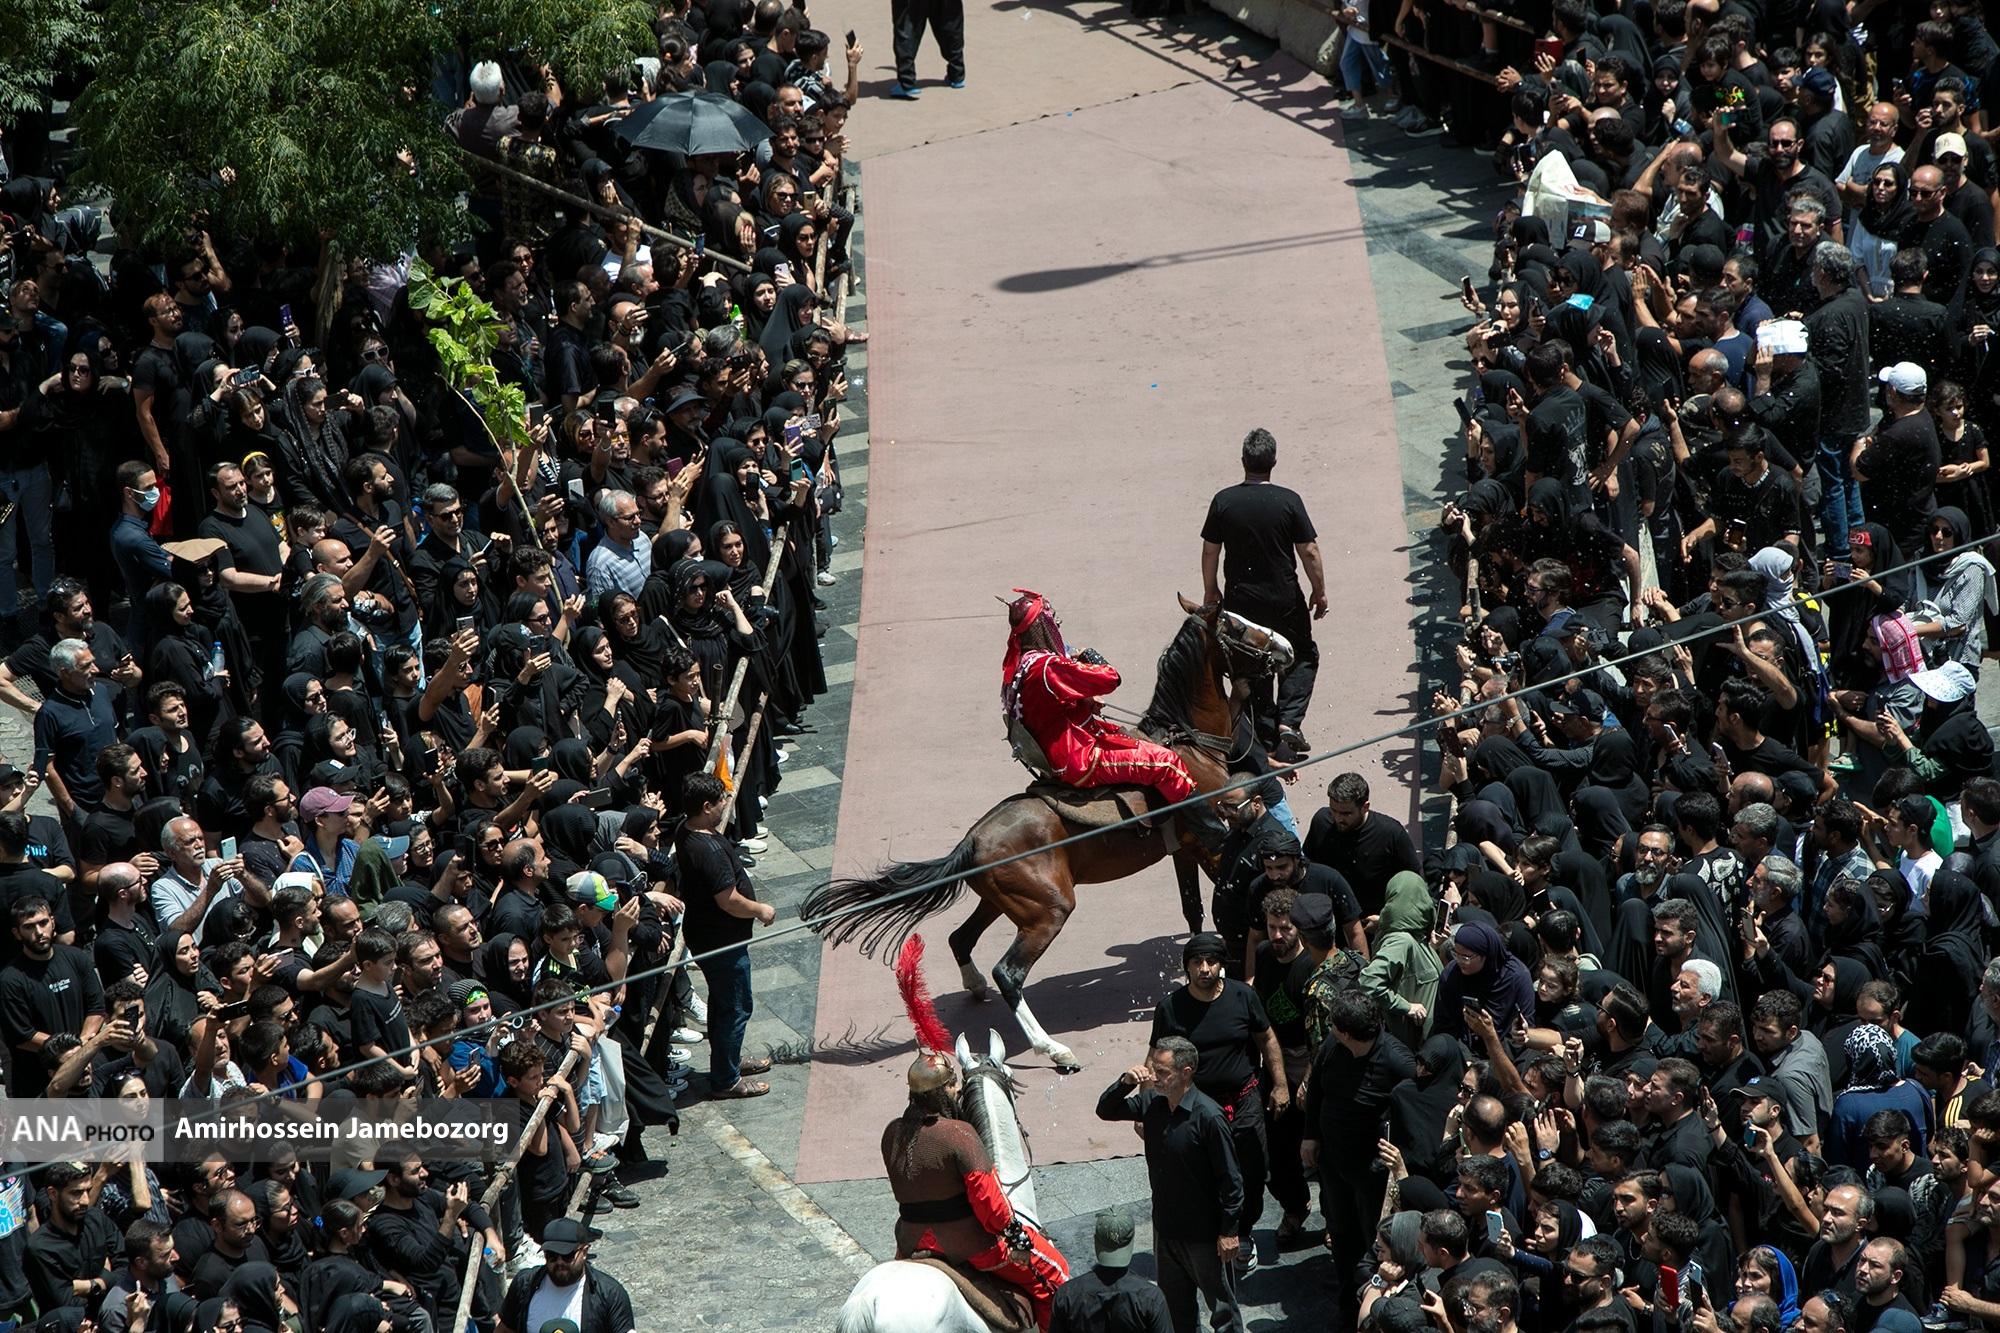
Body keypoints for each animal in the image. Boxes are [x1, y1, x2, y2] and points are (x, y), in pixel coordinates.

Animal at [803, 594, 1287, 1071]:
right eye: (1235, 625)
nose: (1284, 645)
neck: (1190, 744)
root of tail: (973, 839)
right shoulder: (1209, 844)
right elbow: (1223, 895)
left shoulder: (1183, 851)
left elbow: (1193, 910)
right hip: (1048, 910)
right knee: (1008, 973)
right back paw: (1051, 1048)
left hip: (1006, 903)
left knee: (961, 938)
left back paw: (975, 988)